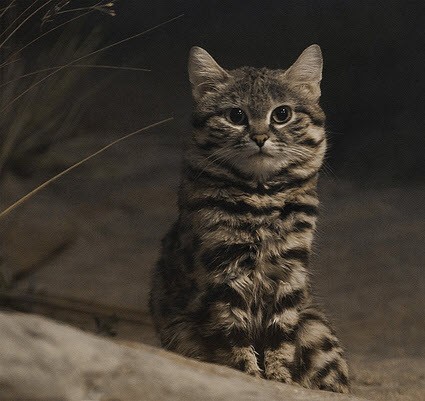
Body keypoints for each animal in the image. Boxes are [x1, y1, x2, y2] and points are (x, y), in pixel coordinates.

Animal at [149, 45, 348, 392]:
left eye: (282, 114)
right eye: (236, 116)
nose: (259, 137)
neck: (261, 196)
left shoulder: (289, 271)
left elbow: (280, 336)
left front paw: (280, 380)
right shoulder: (223, 271)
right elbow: (234, 335)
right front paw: (251, 376)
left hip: (315, 327)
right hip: (180, 330)